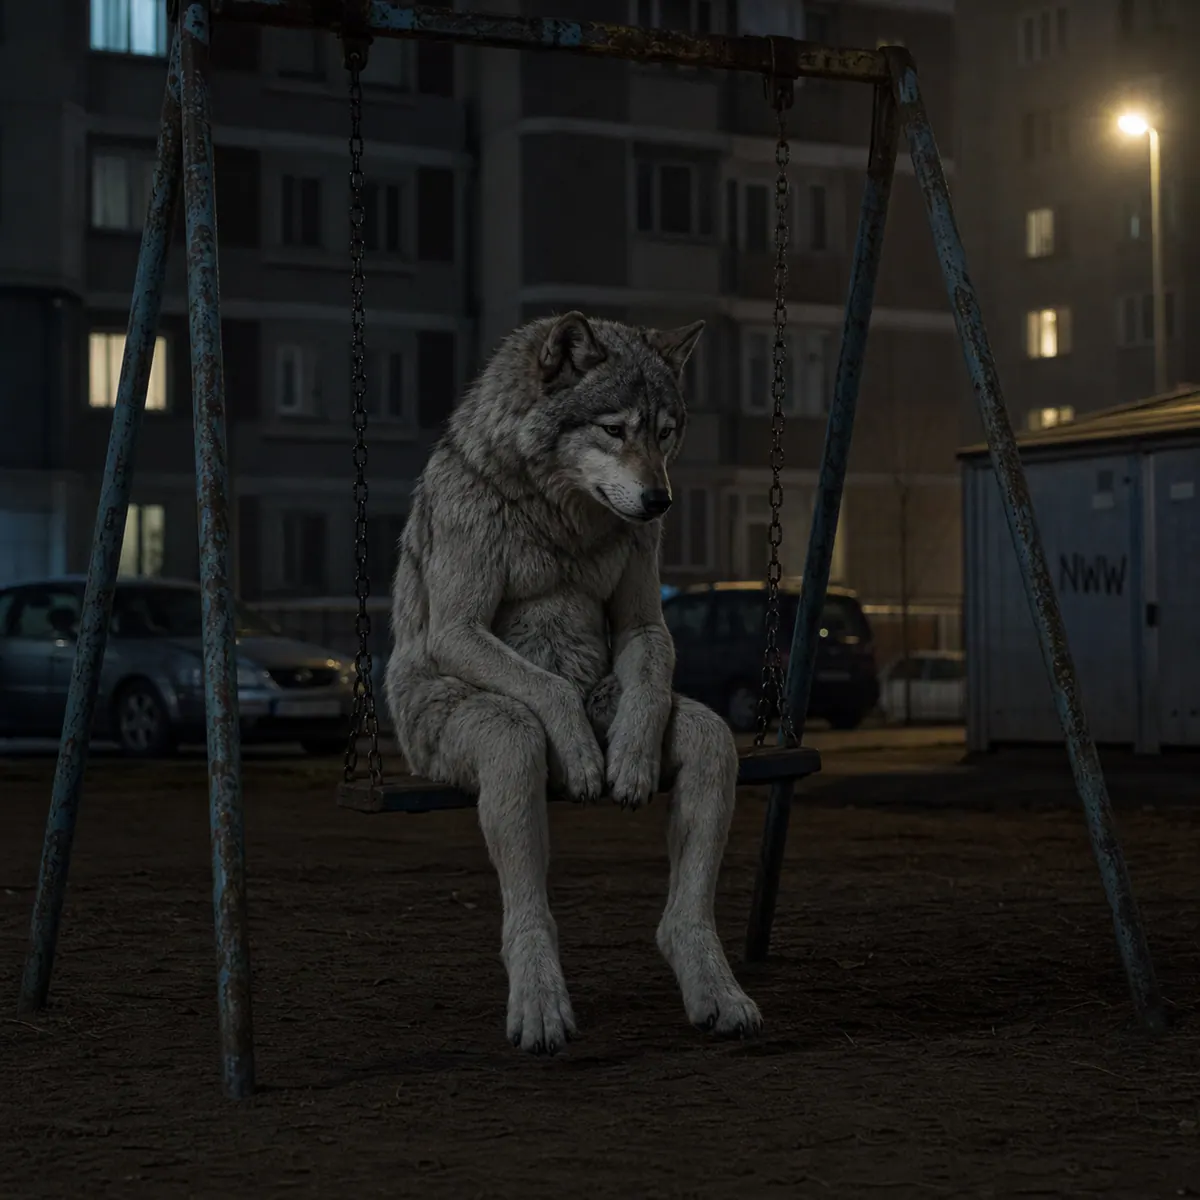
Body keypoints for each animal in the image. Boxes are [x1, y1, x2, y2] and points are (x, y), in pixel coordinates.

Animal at [384, 311, 761, 1054]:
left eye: (664, 432)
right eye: (614, 430)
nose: (659, 498)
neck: (560, 511)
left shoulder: (645, 620)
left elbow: (648, 654)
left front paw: (631, 762)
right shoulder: (458, 631)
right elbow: (546, 689)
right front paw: (587, 761)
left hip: (674, 725)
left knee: (705, 746)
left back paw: (715, 990)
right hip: (480, 734)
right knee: (519, 747)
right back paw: (540, 1009)